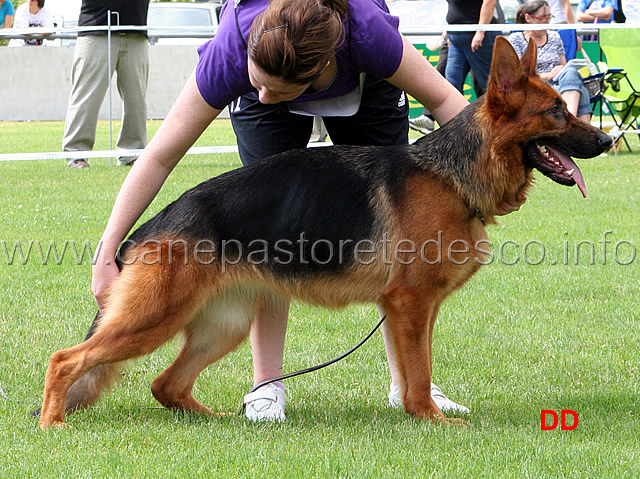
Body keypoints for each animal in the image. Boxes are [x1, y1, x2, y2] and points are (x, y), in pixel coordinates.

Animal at [37, 38, 612, 428]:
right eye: (556, 112)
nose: (608, 141)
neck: (452, 173)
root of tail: (149, 227)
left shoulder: (415, 309)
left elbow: (417, 370)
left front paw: (420, 413)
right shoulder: (409, 303)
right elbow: (419, 373)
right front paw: (432, 421)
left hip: (223, 325)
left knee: (165, 384)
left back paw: (221, 421)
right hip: (154, 318)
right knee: (66, 359)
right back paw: (52, 423)